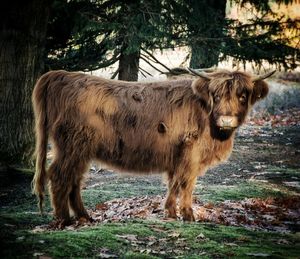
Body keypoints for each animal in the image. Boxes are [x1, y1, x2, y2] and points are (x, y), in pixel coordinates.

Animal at [32, 68, 274, 225]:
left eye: (242, 96)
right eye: (216, 95)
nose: (226, 120)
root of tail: (62, 75)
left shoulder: (178, 156)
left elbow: (174, 183)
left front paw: (170, 213)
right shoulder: (191, 154)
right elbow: (186, 184)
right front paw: (188, 216)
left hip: (80, 151)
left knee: (74, 179)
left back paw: (85, 217)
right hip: (72, 146)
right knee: (60, 176)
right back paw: (64, 219)